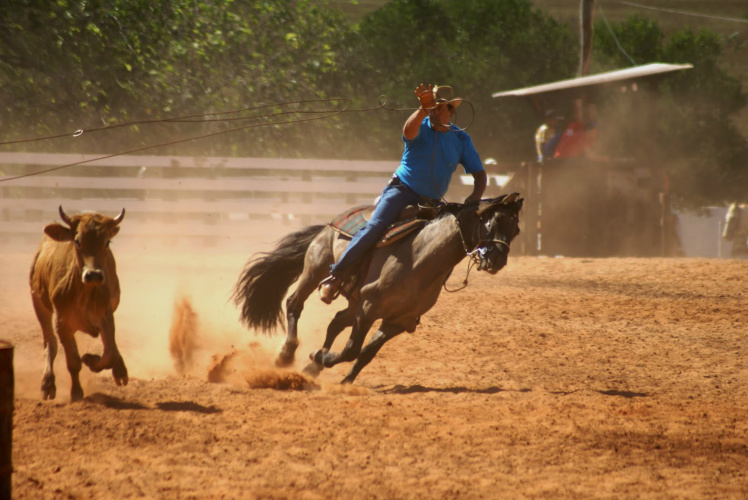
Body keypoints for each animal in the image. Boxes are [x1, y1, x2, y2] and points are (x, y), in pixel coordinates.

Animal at [29, 205, 127, 400]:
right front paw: (76, 392)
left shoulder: (107, 317)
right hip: (39, 303)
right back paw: (48, 384)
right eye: (77, 241)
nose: (94, 275)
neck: (85, 295)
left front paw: (91, 359)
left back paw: (120, 370)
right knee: (50, 344)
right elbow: (73, 361)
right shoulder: (63, 324)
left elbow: (109, 353)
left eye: (107, 242)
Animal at [232, 193, 520, 384]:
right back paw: (286, 354)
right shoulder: (369, 309)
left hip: (353, 301)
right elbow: (352, 349)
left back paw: (312, 368)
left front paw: (343, 380)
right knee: (294, 304)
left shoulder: (399, 321)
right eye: (491, 223)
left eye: (515, 229)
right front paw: (319, 357)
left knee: (336, 321)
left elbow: (366, 354)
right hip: (315, 270)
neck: (419, 258)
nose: (497, 261)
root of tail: (329, 224)